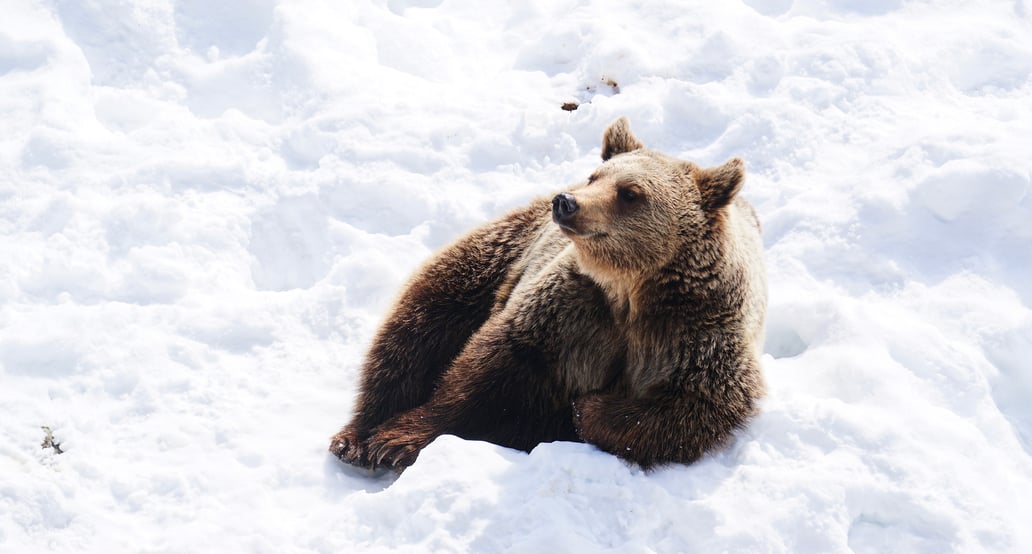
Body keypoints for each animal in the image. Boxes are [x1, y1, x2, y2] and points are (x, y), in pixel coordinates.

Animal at [330, 117, 767, 470]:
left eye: (630, 192)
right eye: (596, 176)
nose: (568, 202)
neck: (629, 290)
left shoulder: (694, 332)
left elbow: (695, 406)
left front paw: (586, 409)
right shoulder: (572, 308)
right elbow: (490, 366)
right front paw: (393, 439)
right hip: (500, 255)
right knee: (418, 325)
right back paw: (355, 436)